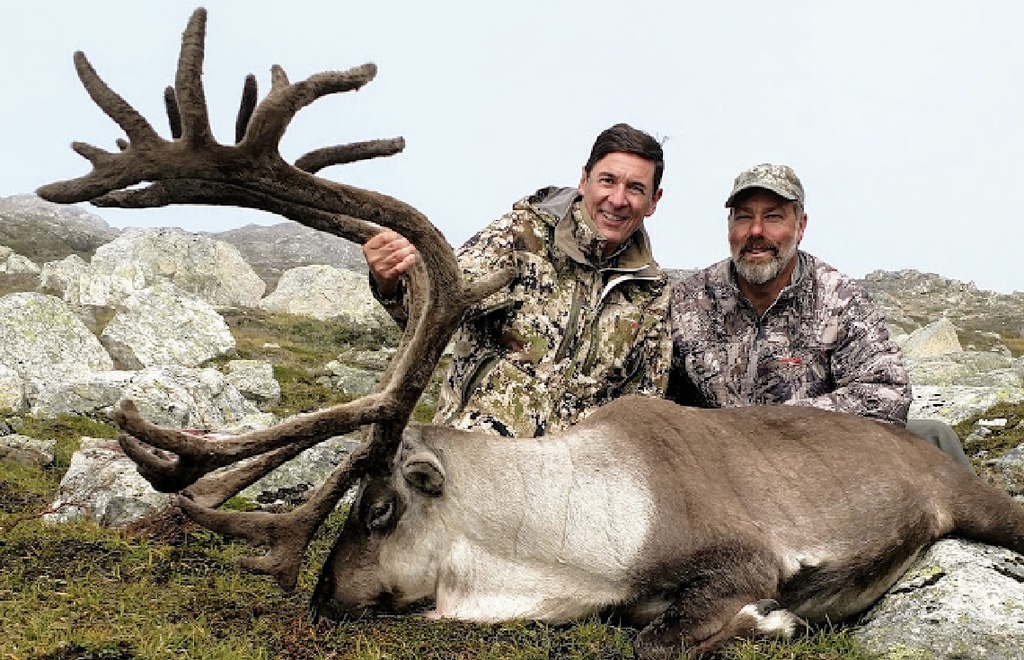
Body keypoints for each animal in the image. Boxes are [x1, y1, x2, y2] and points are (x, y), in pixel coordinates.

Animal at [36, 8, 1024, 659]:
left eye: (379, 508)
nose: (324, 602)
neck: (582, 526)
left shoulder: (742, 558)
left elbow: (677, 631)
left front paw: (774, 619)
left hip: (975, 504)